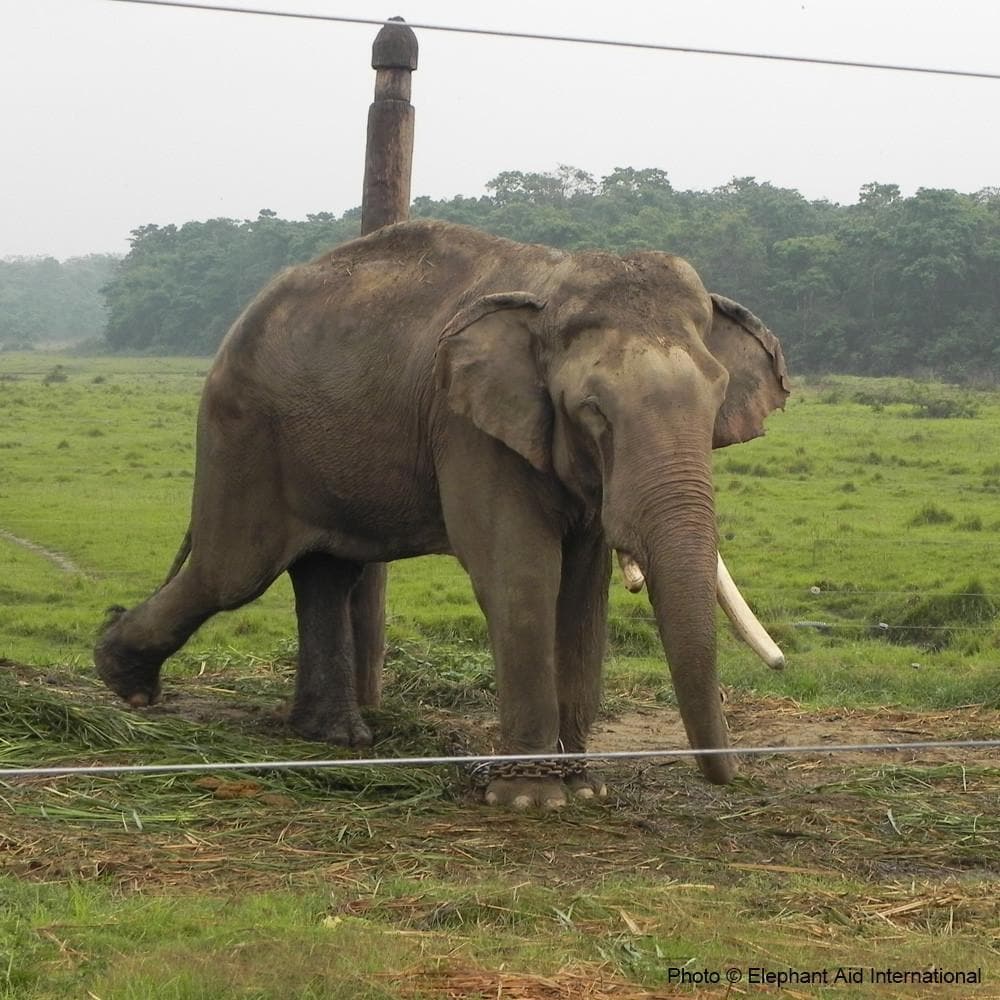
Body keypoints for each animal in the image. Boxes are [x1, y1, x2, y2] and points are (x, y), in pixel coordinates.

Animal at [97, 219, 792, 804]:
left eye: (716, 400)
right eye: (593, 410)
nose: (730, 775)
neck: (550, 282)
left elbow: (580, 590)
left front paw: (584, 789)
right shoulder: (467, 427)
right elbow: (520, 575)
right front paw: (531, 800)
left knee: (326, 572)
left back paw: (335, 739)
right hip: (241, 430)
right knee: (232, 572)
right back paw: (122, 676)